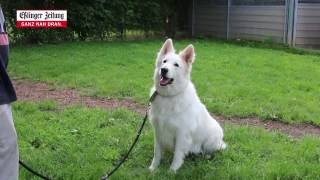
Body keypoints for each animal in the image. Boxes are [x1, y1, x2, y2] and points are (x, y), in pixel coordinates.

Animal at [149, 39, 226, 172]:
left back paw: (205, 155)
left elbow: (177, 154)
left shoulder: (182, 133)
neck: (169, 96)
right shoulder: (158, 130)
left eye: (176, 65)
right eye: (164, 61)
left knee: (210, 151)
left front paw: (172, 171)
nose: (163, 70)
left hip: (211, 140)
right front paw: (153, 168)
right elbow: (157, 152)